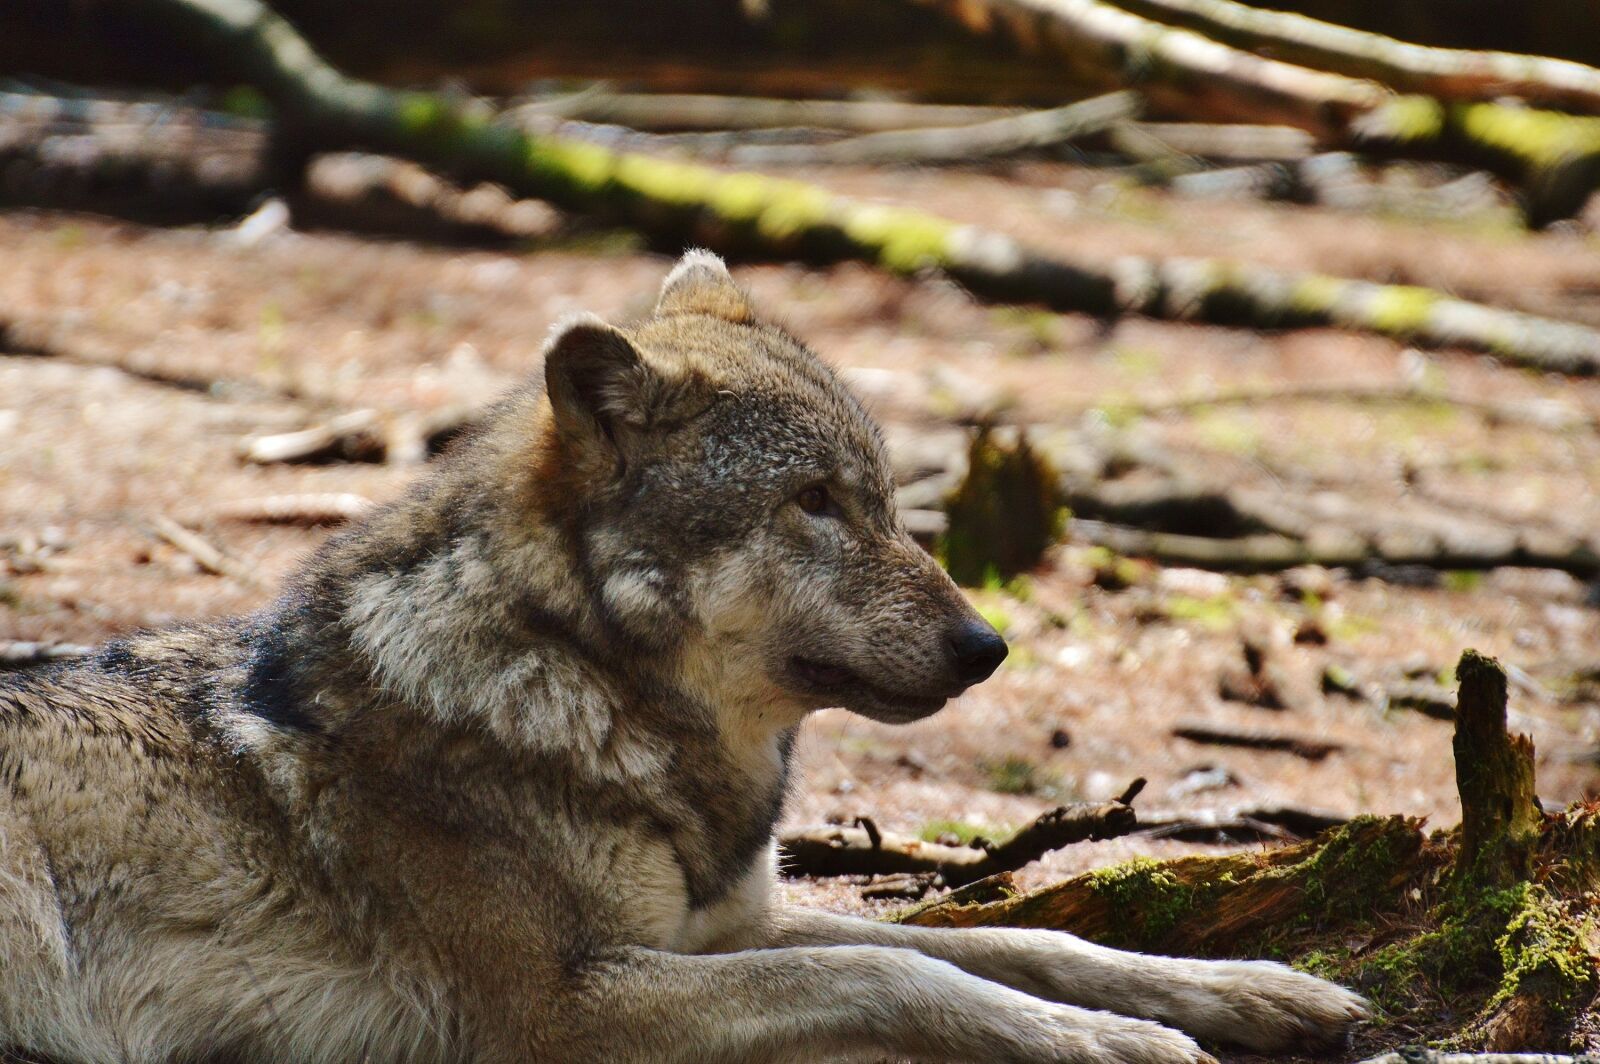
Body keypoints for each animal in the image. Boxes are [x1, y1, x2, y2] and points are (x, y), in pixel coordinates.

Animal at [0, 250, 1364, 1063]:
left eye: (884, 500)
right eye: (813, 501)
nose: (990, 644)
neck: (589, 691)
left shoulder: (723, 925)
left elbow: (1015, 939)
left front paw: (1257, 990)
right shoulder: (558, 1004)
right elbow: (895, 964)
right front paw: (1107, 1043)